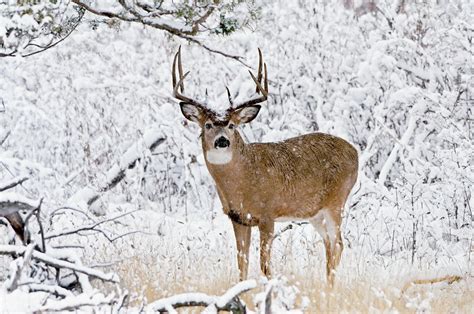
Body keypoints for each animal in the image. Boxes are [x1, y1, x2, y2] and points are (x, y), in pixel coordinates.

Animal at [172, 47, 358, 288]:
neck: (244, 181)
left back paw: (331, 288)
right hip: (315, 212)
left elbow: (265, 265)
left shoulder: (268, 214)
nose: (222, 141)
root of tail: (355, 152)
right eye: (208, 125)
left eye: (232, 125)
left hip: (337, 201)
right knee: (328, 243)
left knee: (339, 243)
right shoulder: (238, 218)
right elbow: (242, 264)